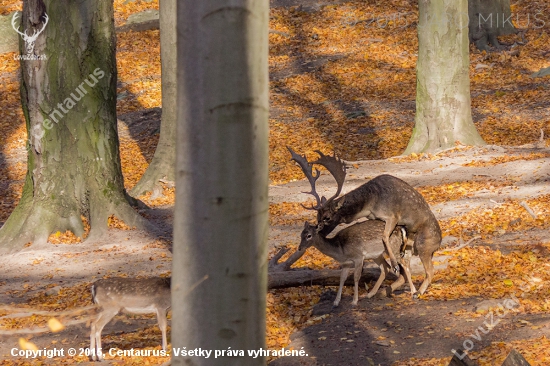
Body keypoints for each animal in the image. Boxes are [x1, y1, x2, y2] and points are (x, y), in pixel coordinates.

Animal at [292, 146, 442, 298]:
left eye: (327, 217)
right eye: (317, 216)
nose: (319, 231)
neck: (369, 204)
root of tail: (439, 243)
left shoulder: (392, 215)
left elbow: (385, 237)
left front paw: (393, 263)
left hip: (424, 246)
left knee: (429, 271)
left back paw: (416, 292)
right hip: (411, 248)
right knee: (405, 272)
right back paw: (382, 291)